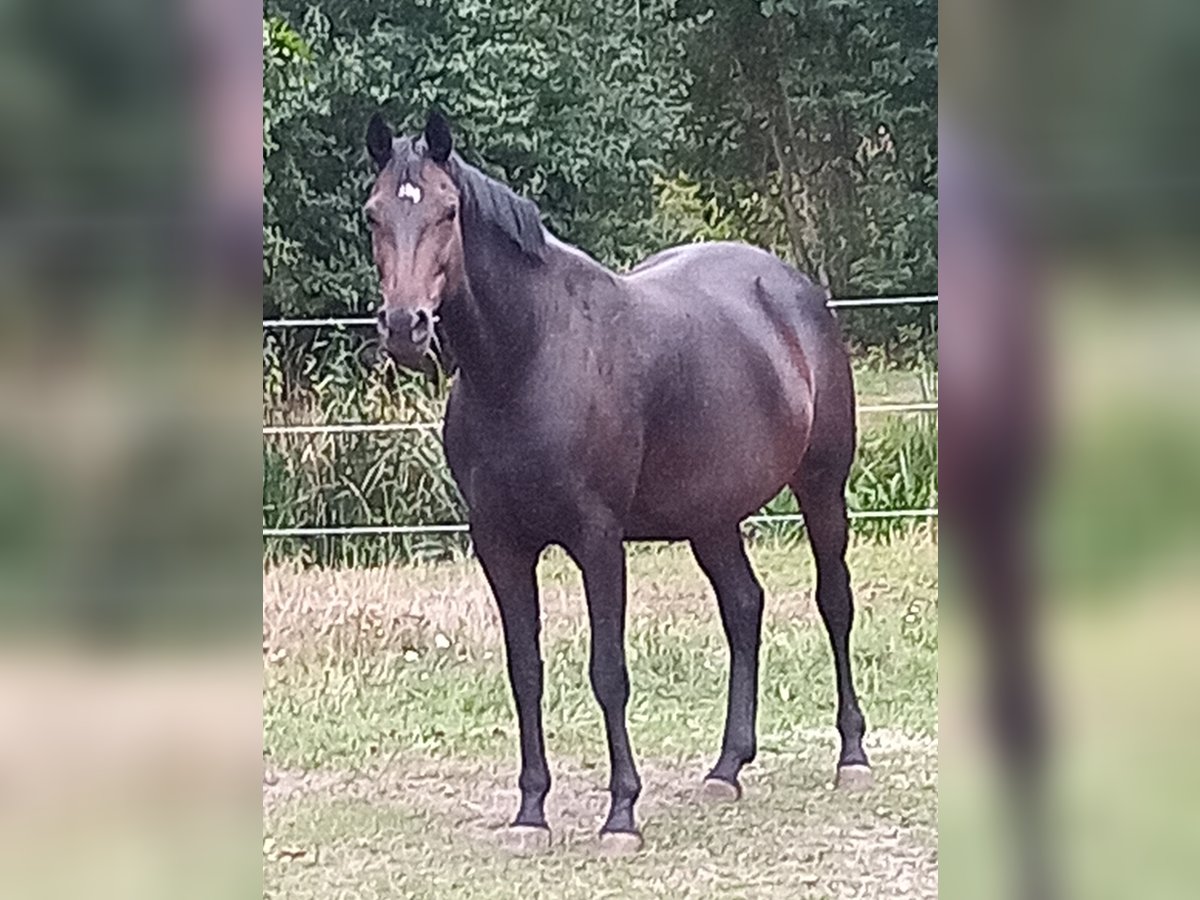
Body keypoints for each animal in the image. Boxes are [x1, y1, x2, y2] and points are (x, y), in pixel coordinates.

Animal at [360, 111, 868, 854]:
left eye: (447, 211)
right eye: (372, 215)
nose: (405, 326)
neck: (528, 360)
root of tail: (797, 291)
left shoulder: (597, 541)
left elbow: (608, 672)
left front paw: (622, 813)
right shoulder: (500, 544)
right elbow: (525, 671)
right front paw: (531, 812)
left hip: (822, 488)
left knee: (834, 603)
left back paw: (852, 756)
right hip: (711, 518)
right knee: (744, 608)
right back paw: (726, 768)